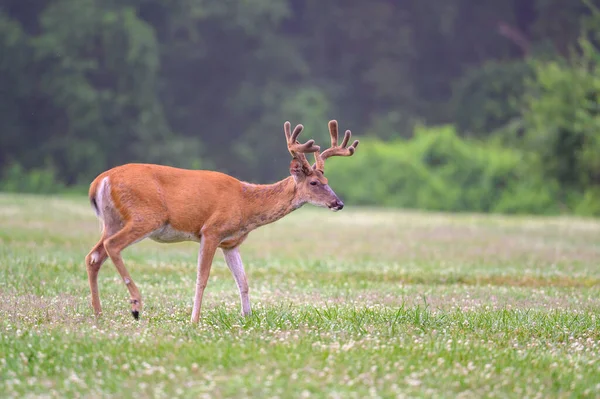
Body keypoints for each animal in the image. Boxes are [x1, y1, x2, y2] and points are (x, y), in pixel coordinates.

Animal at [83, 120, 356, 324]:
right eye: (314, 183)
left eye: (327, 180)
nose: (339, 203)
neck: (246, 204)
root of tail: (100, 181)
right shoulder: (211, 230)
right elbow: (202, 278)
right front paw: (194, 320)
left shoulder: (231, 243)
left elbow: (243, 282)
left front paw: (247, 317)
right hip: (145, 215)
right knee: (112, 246)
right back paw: (136, 305)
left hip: (113, 220)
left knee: (93, 256)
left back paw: (98, 314)